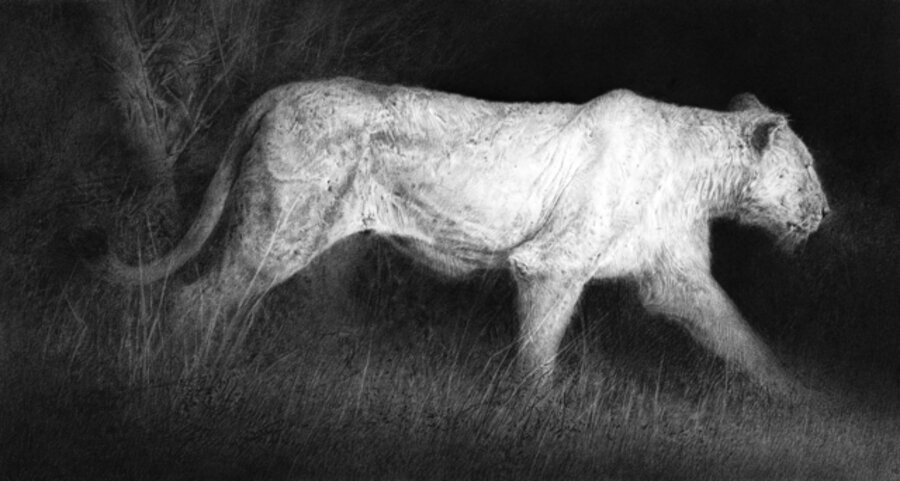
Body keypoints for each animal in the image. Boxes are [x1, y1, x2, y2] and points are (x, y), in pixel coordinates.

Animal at [96, 77, 830, 395]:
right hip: (282, 230)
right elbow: (539, 352)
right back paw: (189, 378)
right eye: (807, 169)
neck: (700, 178)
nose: (825, 211)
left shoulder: (676, 279)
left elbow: (743, 338)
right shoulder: (550, 264)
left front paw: (802, 404)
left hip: (314, 244)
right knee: (197, 298)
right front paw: (539, 417)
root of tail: (279, 91)